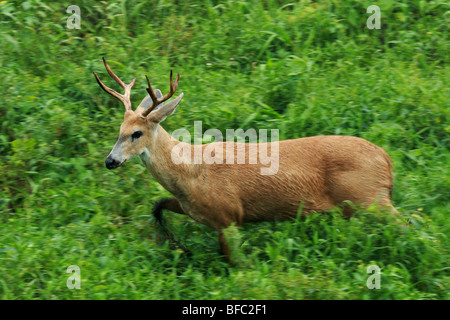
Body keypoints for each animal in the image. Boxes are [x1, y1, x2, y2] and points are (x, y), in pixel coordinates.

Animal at [94, 58, 398, 264]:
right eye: (118, 130)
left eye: (136, 133)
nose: (110, 161)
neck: (189, 173)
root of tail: (386, 160)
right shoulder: (194, 209)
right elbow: (157, 206)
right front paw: (176, 245)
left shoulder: (229, 215)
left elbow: (233, 262)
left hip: (369, 198)